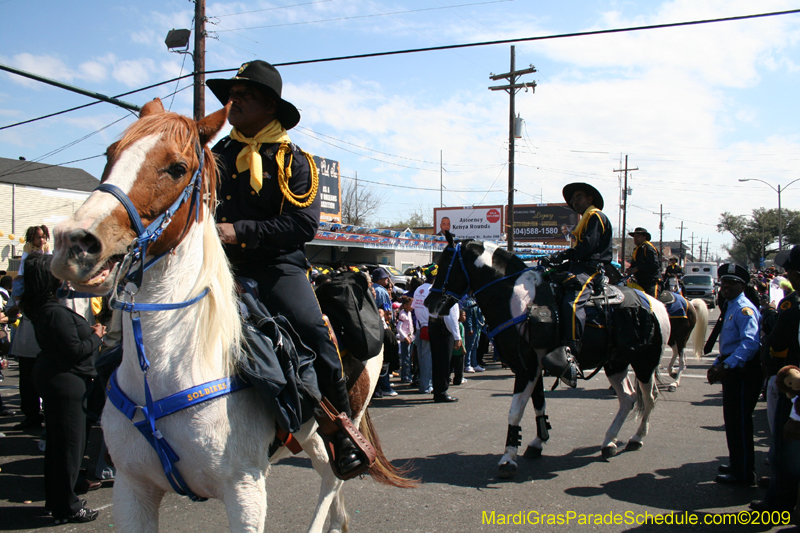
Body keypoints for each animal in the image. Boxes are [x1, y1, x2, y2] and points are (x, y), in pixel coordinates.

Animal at [50, 100, 412, 532]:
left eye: (177, 167)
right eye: (110, 154)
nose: (74, 243)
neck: (167, 372)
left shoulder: (244, 491)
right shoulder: (132, 488)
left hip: (344, 421)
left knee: (333, 478)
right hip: (309, 432)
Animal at [424, 235, 668, 480]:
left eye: (445, 264)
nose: (429, 303)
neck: (513, 297)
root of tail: (656, 304)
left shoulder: (527, 368)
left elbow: (516, 412)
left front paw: (508, 459)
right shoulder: (533, 367)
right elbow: (538, 404)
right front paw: (537, 442)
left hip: (644, 362)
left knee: (649, 398)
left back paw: (636, 438)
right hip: (615, 363)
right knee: (628, 398)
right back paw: (609, 442)